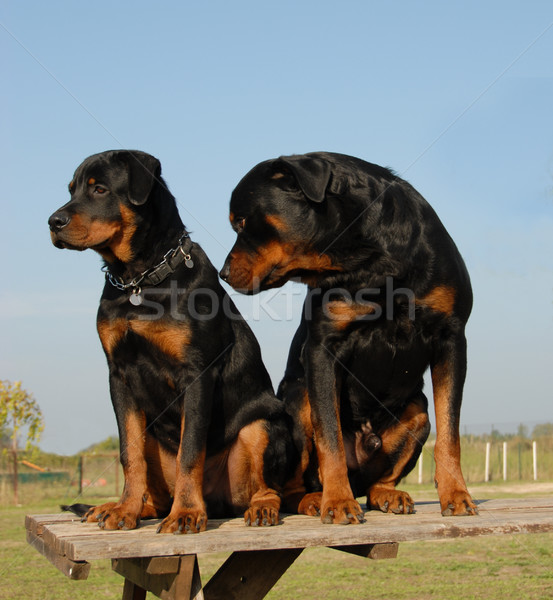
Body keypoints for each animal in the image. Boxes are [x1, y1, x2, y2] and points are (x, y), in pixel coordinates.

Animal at [49, 151, 296, 536]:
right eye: (71, 190)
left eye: (100, 189)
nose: (52, 222)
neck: (138, 280)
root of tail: (218, 501)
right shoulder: (119, 375)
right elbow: (129, 454)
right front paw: (125, 511)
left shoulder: (196, 373)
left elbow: (190, 451)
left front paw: (187, 514)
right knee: (154, 489)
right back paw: (116, 507)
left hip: (264, 425)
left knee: (267, 486)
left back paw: (260, 508)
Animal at [222, 151, 476, 524]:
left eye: (241, 222)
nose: (223, 273)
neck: (370, 257)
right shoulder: (322, 349)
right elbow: (330, 440)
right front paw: (338, 502)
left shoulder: (451, 338)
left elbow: (450, 432)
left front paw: (457, 494)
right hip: (299, 399)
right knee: (295, 483)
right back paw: (314, 499)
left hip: (417, 412)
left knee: (377, 480)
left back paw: (389, 495)